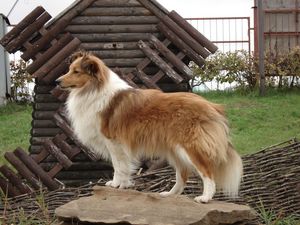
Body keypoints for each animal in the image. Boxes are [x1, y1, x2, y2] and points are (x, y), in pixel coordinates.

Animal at [56, 51, 243, 203]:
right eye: (69, 69)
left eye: (76, 72)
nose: (57, 81)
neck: (94, 89)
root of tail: (213, 106)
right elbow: (124, 166)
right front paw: (124, 185)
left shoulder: (114, 142)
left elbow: (118, 166)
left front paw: (115, 184)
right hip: (175, 151)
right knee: (182, 175)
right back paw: (169, 194)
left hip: (191, 147)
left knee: (207, 173)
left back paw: (205, 198)